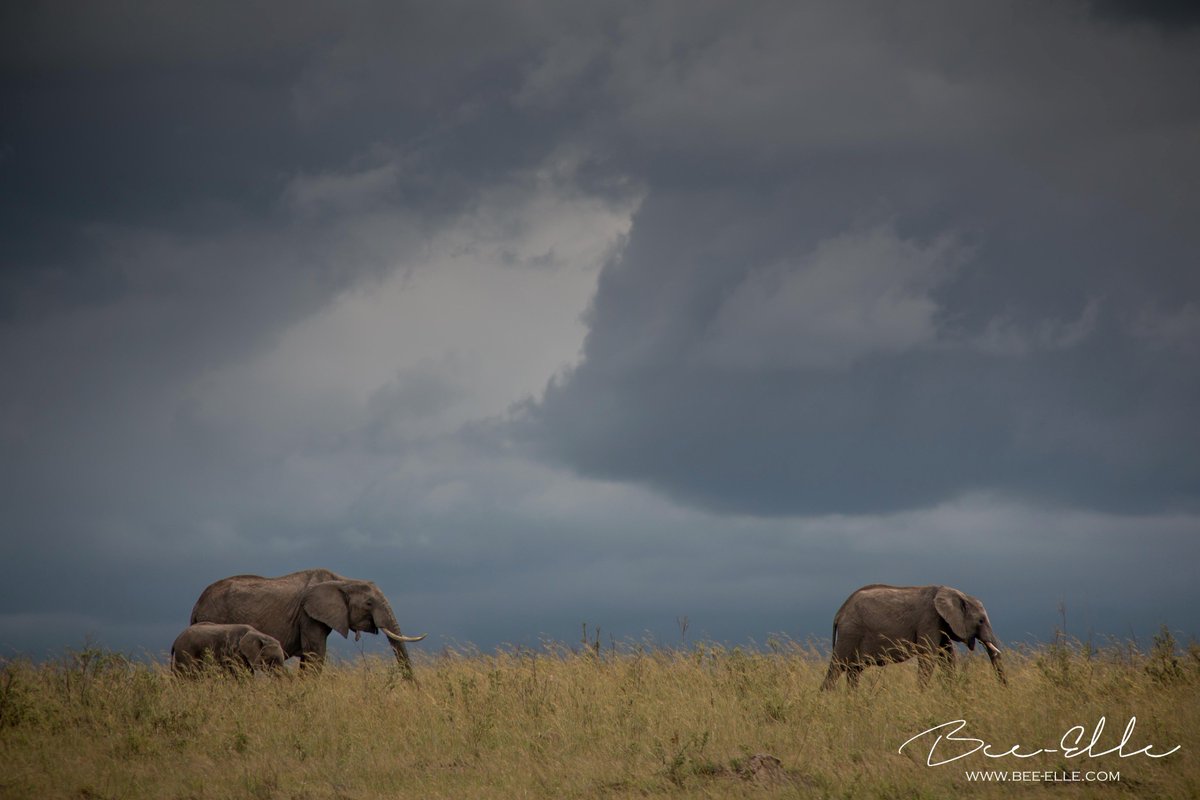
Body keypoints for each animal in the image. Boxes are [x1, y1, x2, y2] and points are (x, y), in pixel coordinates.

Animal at [189, 568, 426, 677]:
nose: (414, 688)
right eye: (369, 603)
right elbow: (315, 655)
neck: (342, 581)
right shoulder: (308, 615)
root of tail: (196, 605)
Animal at [820, 584, 1006, 690]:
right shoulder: (929, 619)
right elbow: (928, 657)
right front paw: (921, 694)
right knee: (836, 668)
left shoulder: (941, 624)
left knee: (854, 671)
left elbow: (947, 658)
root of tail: (839, 613)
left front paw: (952, 693)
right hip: (850, 633)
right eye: (981, 621)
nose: (1004, 689)